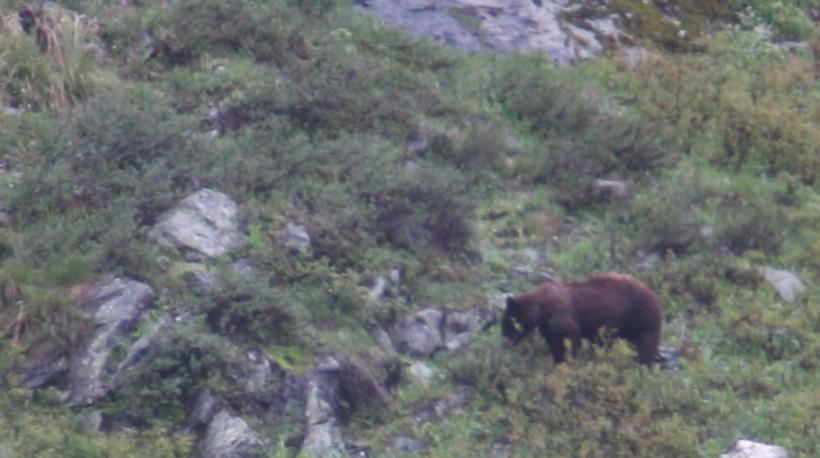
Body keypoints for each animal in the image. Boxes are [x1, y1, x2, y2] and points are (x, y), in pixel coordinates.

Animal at [502, 272, 662, 365]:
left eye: (508, 322)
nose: (505, 336)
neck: (542, 310)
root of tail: (654, 295)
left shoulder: (560, 314)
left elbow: (571, 335)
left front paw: (570, 360)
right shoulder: (547, 328)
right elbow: (555, 344)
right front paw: (558, 361)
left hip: (641, 318)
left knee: (645, 345)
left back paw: (643, 365)